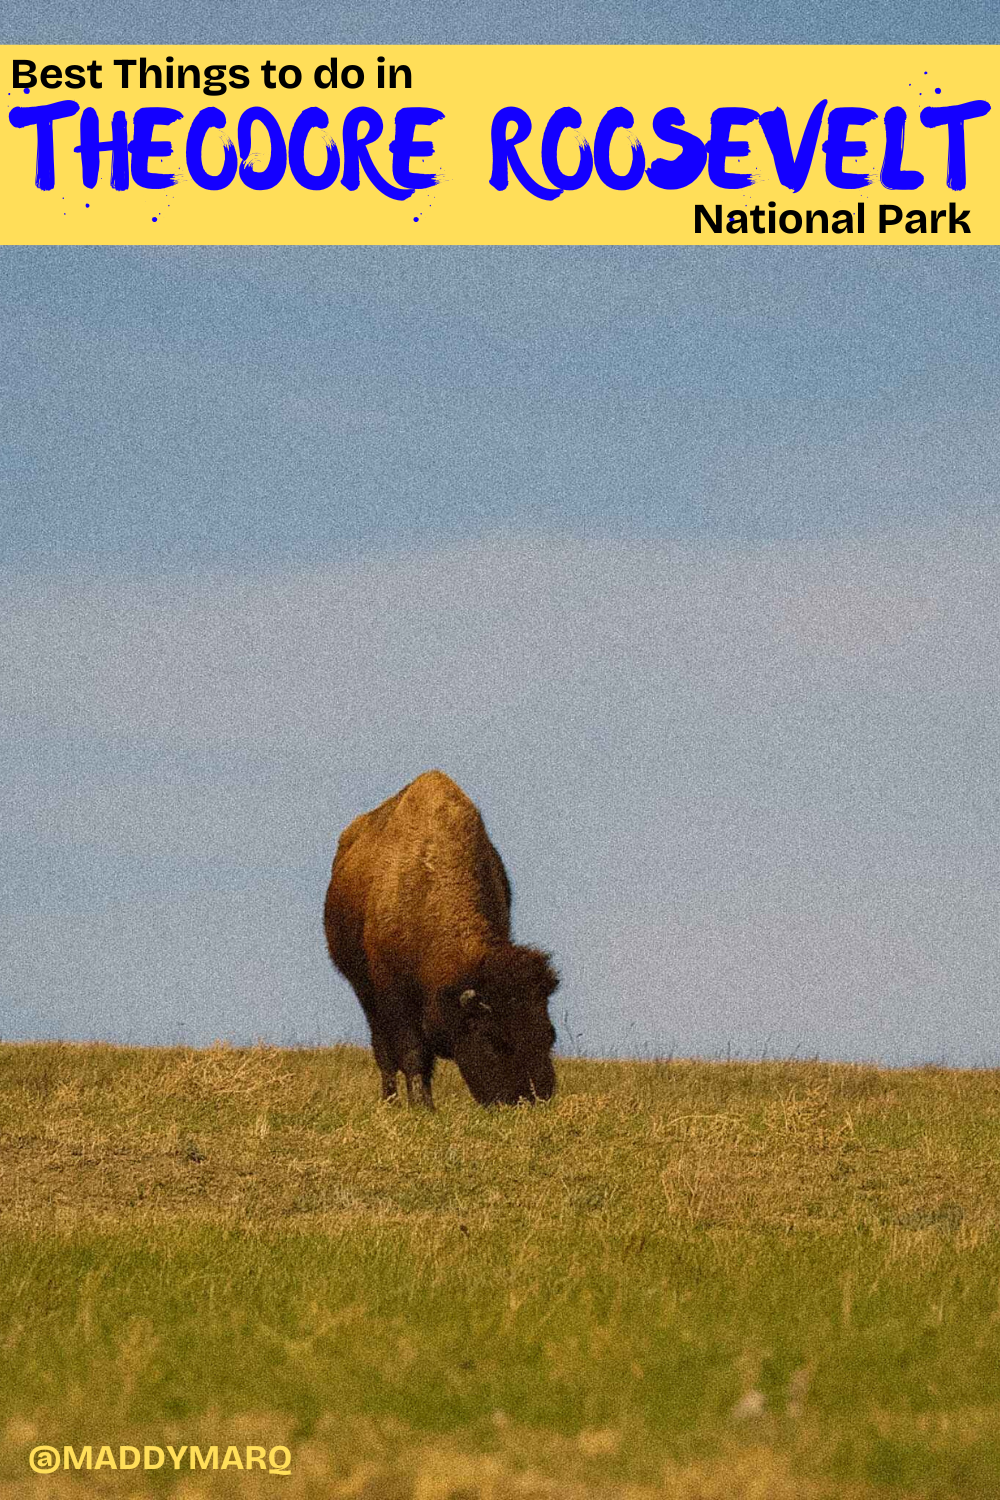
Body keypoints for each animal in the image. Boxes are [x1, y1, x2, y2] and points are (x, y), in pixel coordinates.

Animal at [324, 771, 559, 1107]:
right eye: (494, 1039)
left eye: (550, 1034)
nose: (535, 1099)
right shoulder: (394, 996)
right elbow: (412, 1053)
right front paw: (422, 1106)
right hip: (363, 990)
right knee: (383, 1051)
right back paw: (391, 1101)